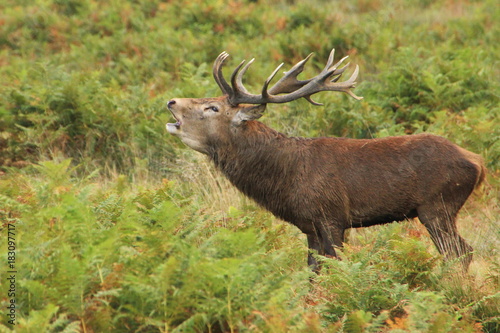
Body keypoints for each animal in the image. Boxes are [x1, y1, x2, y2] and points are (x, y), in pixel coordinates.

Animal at [167, 48, 484, 270]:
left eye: (212, 108)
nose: (172, 101)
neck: (284, 179)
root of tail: (478, 163)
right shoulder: (308, 225)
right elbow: (313, 270)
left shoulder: (331, 216)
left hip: (438, 205)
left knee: (460, 252)